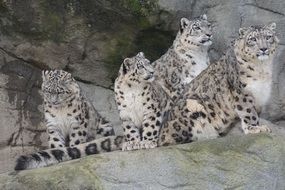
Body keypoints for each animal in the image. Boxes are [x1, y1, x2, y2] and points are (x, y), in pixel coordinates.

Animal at [14, 23, 276, 171]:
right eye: (253, 40)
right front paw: (137, 143)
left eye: (269, 37)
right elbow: (247, 111)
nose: (263, 48)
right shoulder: (239, 91)